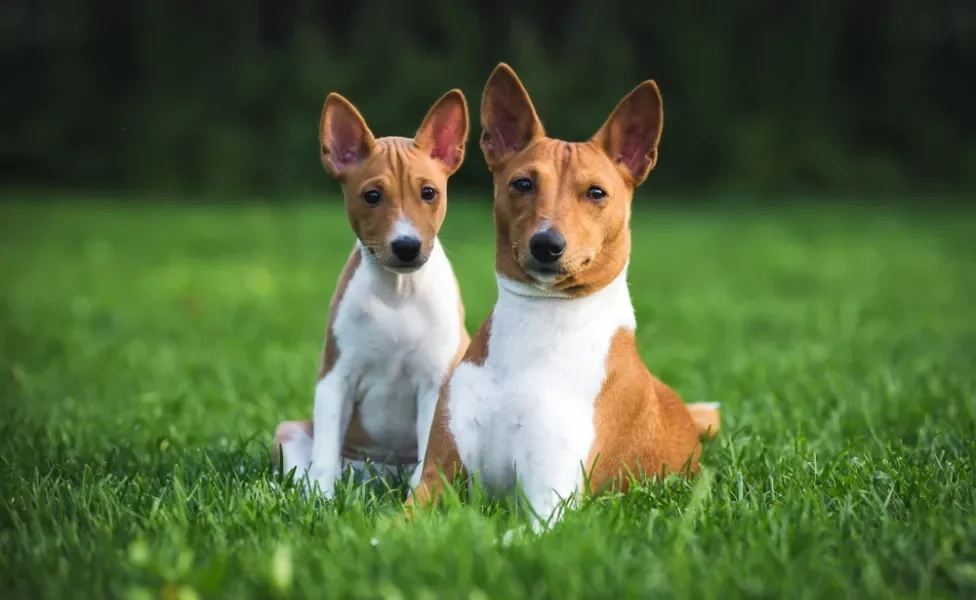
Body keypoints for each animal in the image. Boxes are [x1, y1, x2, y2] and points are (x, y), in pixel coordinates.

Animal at [272, 89, 470, 500]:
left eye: (429, 193)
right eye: (372, 196)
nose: (407, 246)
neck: (398, 292)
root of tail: (381, 475)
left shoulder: (433, 382)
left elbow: (428, 455)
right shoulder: (335, 378)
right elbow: (324, 456)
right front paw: (321, 502)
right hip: (292, 432)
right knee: (304, 466)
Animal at [404, 64, 716, 536]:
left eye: (596, 193)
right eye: (523, 184)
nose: (547, 244)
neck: (539, 323)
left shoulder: (549, 508)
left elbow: (502, 538)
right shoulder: (435, 480)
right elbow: (388, 525)